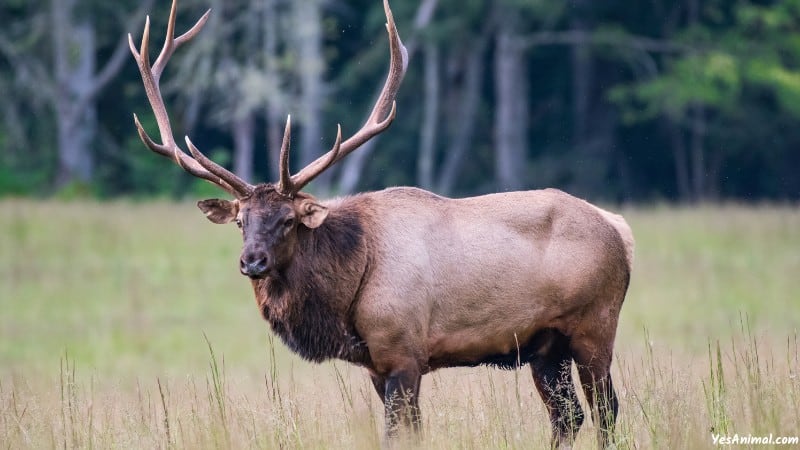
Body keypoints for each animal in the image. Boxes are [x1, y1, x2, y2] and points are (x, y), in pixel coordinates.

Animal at [128, 1, 636, 448]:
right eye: (240, 220)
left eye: (289, 220)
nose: (252, 262)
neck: (347, 290)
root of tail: (619, 228)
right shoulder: (376, 365)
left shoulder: (404, 352)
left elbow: (397, 434)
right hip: (545, 347)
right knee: (567, 416)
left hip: (595, 325)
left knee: (607, 411)